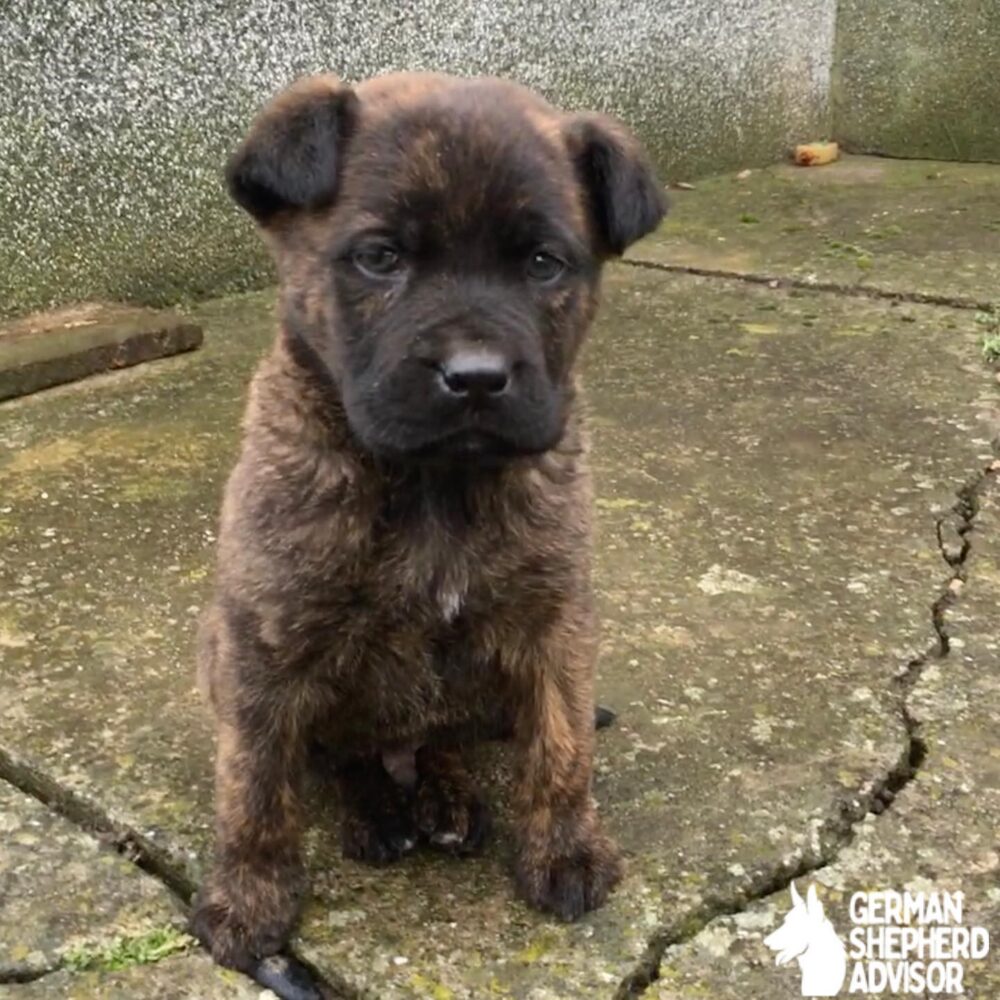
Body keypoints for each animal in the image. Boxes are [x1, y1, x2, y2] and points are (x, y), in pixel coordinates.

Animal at [193, 70, 664, 984]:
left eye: (544, 263)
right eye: (381, 257)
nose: (475, 378)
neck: (433, 488)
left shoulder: (554, 622)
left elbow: (560, 749)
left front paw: (565, 852)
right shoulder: (264, 639)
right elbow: (253, 782)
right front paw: (249, 898)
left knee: (444, 736)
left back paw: (444, 795)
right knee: (344, 756)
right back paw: (381, 812)